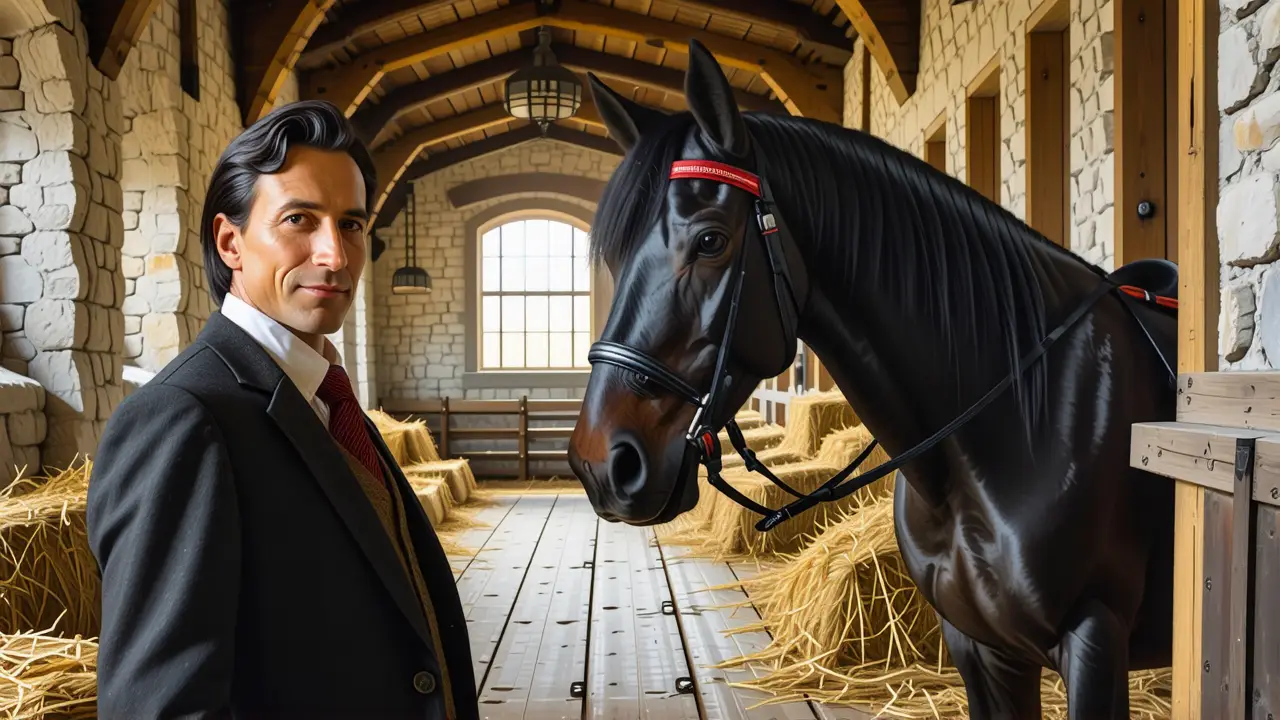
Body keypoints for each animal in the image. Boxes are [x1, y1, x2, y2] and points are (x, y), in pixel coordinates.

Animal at [566, 39, 1178, 719]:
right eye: (616, 257)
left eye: (709, 240)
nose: (600, 463)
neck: (1025, 418)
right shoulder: (981, 648)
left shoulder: (1095, 642)